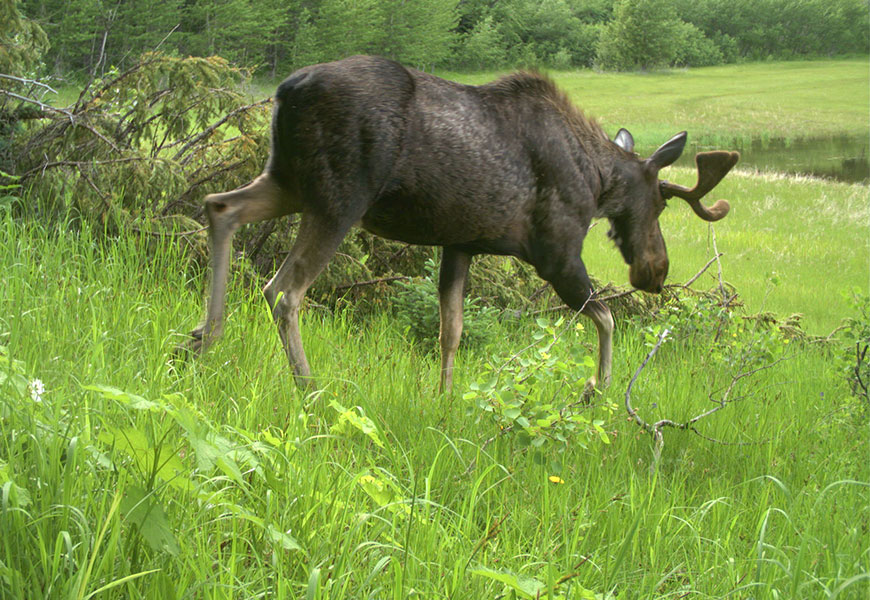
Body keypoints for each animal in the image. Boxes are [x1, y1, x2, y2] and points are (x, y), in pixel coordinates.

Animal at [182, 55, 736, 394]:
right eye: (660, 205)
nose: (656, 273)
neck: (598, 181)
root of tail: (284, 90)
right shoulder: (555, 251)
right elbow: (605, 318)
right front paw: (592, 392)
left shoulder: (460, 244)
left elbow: (452, 329)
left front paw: (444, 399)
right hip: (339, 199)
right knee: (283, 290)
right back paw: (308, 387)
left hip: (290, 181)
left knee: (220, 207)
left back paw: (203, 339)